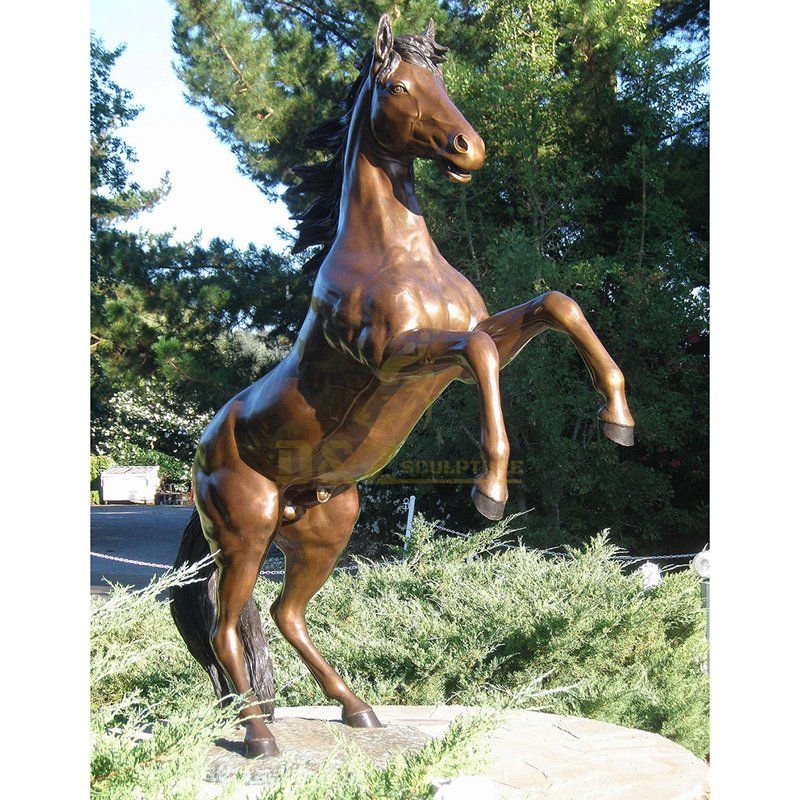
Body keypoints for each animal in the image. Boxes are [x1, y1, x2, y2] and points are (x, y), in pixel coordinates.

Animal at [172, 15, 636, 760]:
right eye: (396, 86)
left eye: (441, 80)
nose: (469, 148)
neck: (395, 256)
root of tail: (200, 458)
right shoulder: (398, 357)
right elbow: (482, 352)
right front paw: (490, 489)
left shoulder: (463, 339)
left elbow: (556, 305)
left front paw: (619, 418)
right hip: (246, 533)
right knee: (224, 625)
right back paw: (261, 737)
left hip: (325, 526)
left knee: (285, 615)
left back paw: (358, 710)